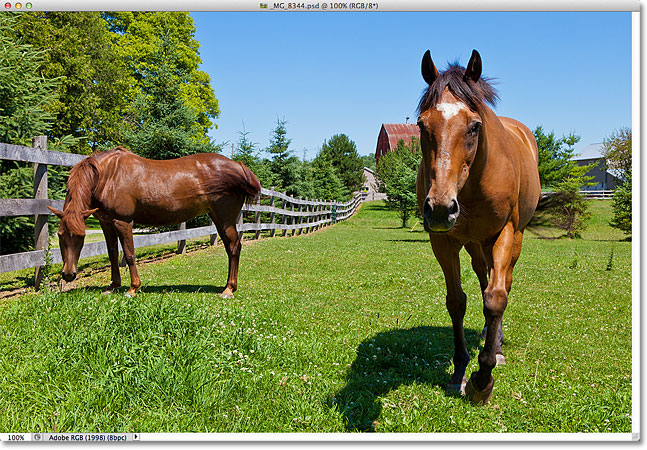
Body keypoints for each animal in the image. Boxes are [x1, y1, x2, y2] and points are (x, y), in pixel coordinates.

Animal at [48, 146, 260, 298]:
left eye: (81, 236)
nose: (68, 275)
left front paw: (133, 289)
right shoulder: (106, 223)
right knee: (231, 248)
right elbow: (112, 253)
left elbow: (129, 254)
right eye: (60, 235)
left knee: (234, 247)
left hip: (225, 218)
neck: (108, 176)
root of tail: (239, 167)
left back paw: (228, 290)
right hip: (217, 218)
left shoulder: (123, 222)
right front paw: (113, 286)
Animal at [416, 50, 540, 404]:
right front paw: (460, 369)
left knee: (502, 284)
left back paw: (495, 344)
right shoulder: (443, 241)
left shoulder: (504, 233)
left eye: (474, 126)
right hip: (474, 245)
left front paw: (483, 378)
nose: (440, 208)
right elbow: (457, 301)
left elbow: (496, 299)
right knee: (484, 278)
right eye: (422, 125)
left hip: (512, 238)